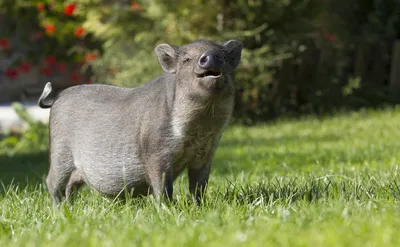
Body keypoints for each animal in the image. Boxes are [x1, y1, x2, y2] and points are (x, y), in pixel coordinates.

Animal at [39, 39, 242, 205]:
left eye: (223, 55)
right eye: (186, 59)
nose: (211, 56)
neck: (198, 130)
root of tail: (57, 98)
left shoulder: (205, 153)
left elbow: (198, 186)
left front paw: (199, 207)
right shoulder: (155, 151)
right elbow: (163, 187)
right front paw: (167, 209)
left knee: (70, 186)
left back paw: (70, 208)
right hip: (60, 151)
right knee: (52, 181)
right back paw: (59, 210)